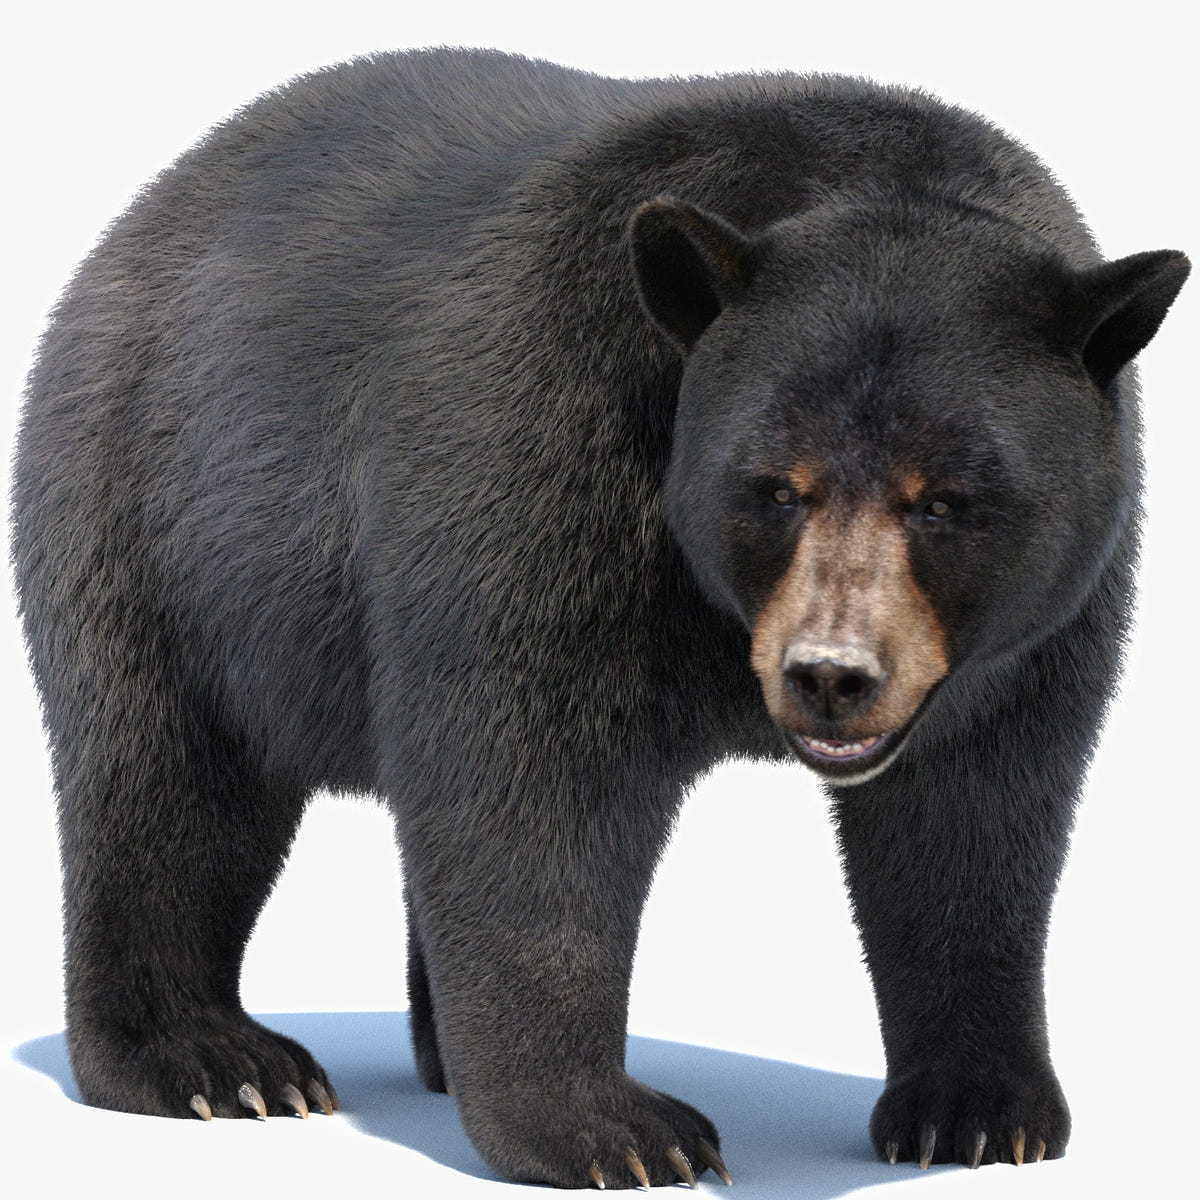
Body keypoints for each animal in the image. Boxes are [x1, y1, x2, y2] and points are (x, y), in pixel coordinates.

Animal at [11, 46, 1189, 1190]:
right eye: (775, 486)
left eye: (944, 500)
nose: (830, 674)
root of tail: (145, 211)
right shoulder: (556, 430)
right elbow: (534, 782)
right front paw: (612, 1129)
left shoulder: (1038, 628)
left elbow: (975, 818)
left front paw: (978, 1111)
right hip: (154, 511)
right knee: (166, 779)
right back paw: (213, 1061)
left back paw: (433, 1055)